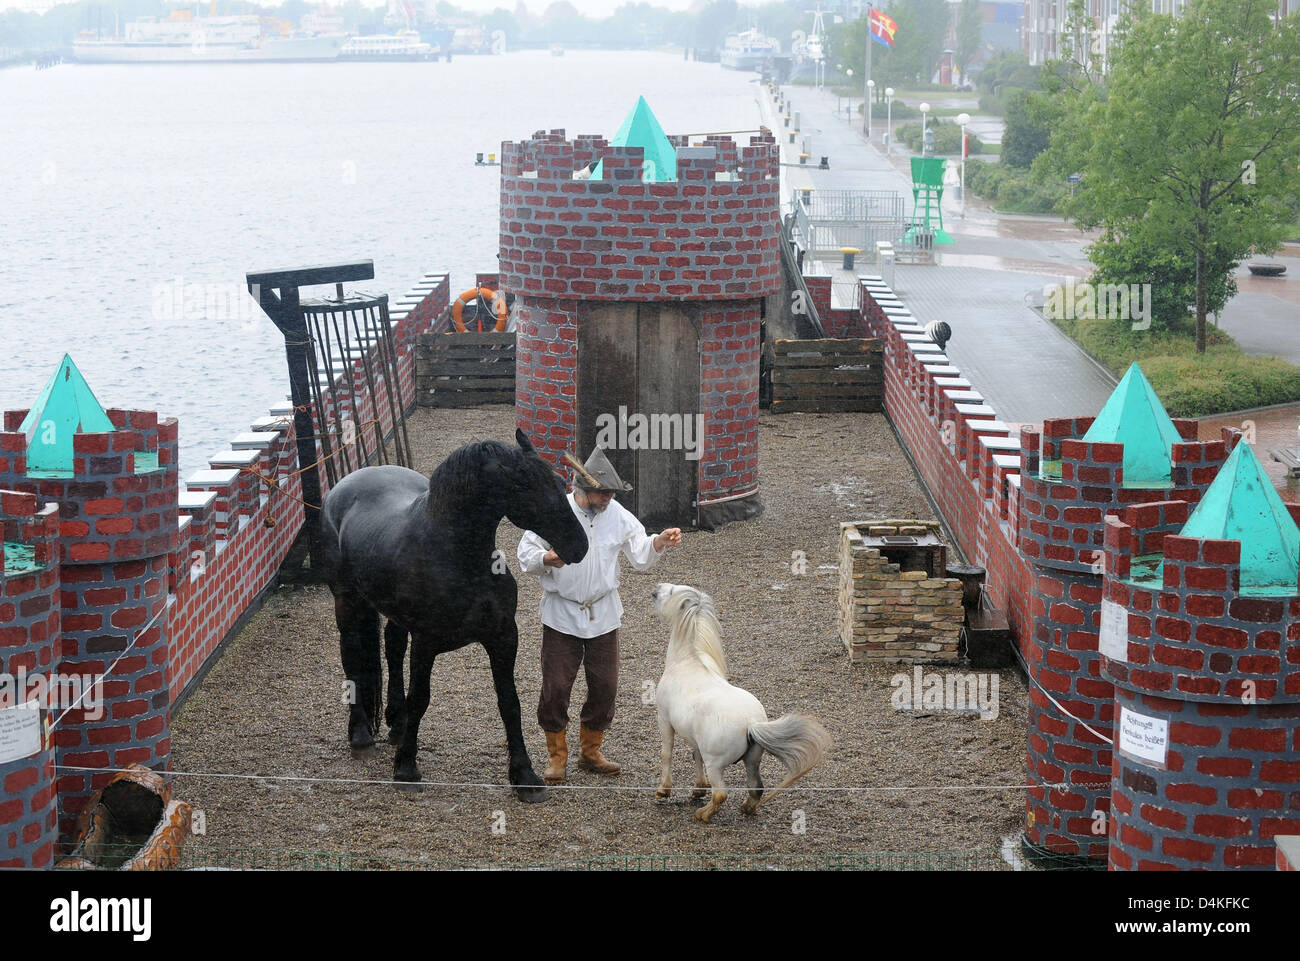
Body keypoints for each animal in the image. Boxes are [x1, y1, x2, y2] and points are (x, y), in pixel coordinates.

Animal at [319, 431, 590, 801]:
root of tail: (344, 486)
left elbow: (510, 703)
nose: (579, 545)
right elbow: (420, 698)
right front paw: (406, 768)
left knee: (392, 650)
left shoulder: (503, 637)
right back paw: (361, 735)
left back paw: (396, 723)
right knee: (352, 658)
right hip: (347, 602)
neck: (458, 557)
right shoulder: (426, 643)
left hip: (394, 617)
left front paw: (524, 776)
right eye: (522, 485)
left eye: (560, 482)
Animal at [650, 582, 832, 821]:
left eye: (671, 592)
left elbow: (667, 753)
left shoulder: (664, 719)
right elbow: (695, 756)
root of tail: (751, 724)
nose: (655, 589)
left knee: (721, 794)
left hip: (716, 765)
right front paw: (698, 789)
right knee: (756, 787)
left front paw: (664, 791)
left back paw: (703, 814)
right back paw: (746, 808)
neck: (687, 662)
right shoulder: (694, 738)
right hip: (752, 761)